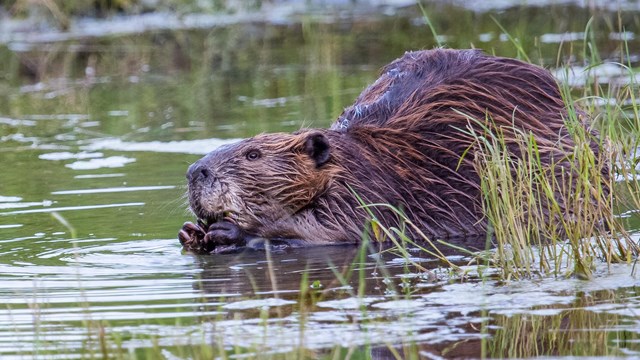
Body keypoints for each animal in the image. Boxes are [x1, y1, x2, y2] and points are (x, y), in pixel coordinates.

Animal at [176, 49, 604, 255]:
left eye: (253, 155)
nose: (196, 171)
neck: (361, 157)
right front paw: (190, 233)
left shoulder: (367, 192)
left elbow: (342, 232)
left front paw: (231, 232)